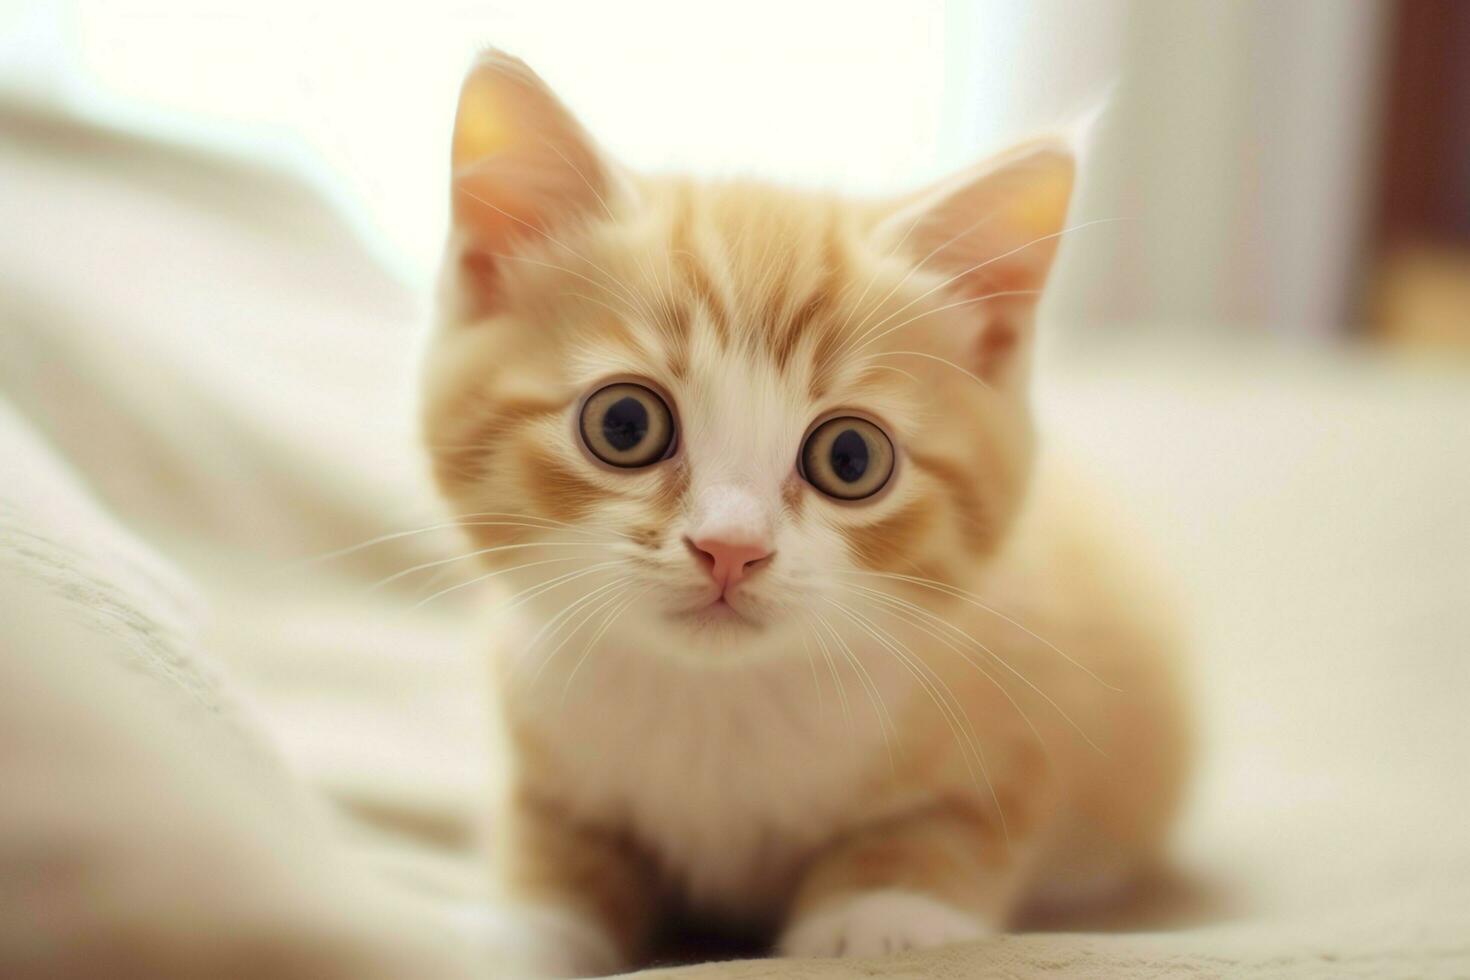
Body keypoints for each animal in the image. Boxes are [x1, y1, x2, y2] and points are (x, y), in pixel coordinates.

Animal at [423, 51, 1193, 975]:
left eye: (851, 458)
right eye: (624, 425)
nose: (729, 547)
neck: (719, 700)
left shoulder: (1031, 694)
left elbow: (952, 821)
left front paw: (882, 917)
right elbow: (549, 842)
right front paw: (522, 926)